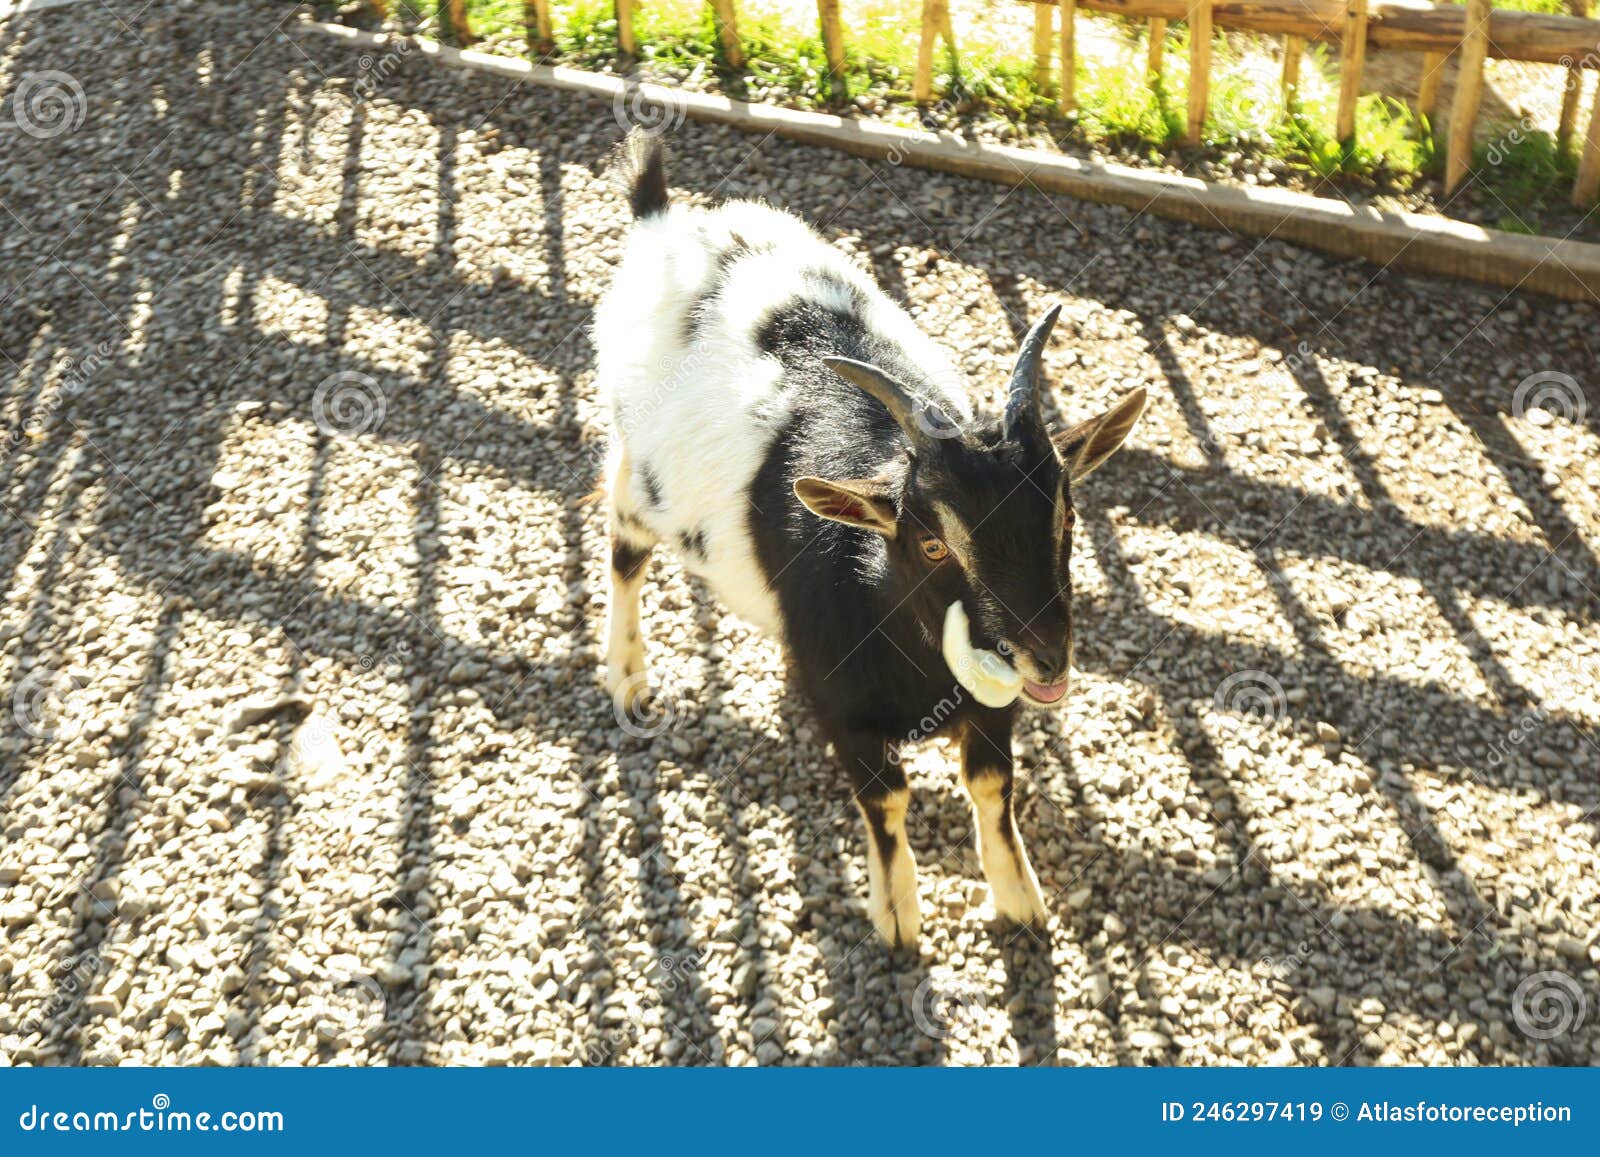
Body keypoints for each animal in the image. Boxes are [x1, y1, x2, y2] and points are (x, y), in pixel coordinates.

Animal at [594, 132, 1146, 949]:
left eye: (1067, 518)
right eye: (932, 543)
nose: (1047, 654)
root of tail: (663, 220)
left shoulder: (994, 707)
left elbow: (991, 784)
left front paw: (1019, 898)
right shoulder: (847, 714)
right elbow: (887, 800)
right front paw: (897, 915)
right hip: (641, 471)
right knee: (623, 544)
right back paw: (628, 671)